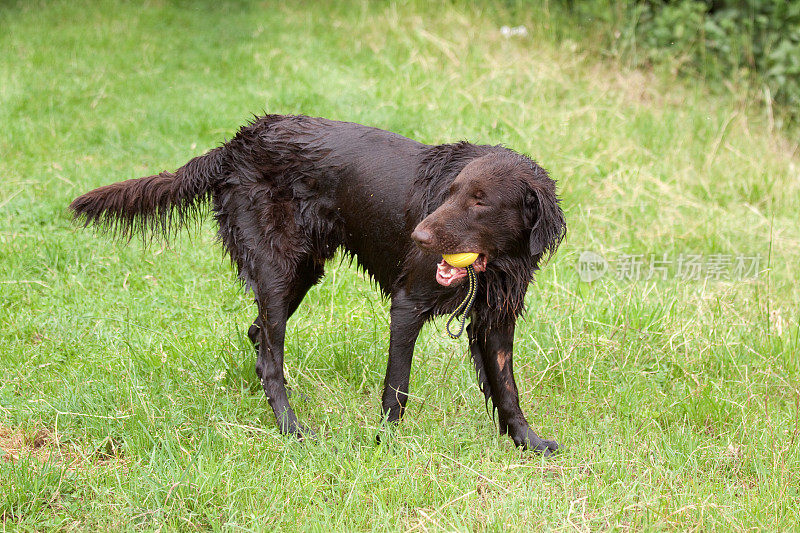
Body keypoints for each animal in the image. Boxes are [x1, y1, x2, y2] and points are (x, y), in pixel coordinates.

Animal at [72, 113, 564, 454]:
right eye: (451, 193)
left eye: (480, 201)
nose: (419, 237)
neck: (496, 266)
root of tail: (238, 141)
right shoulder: (406, 305)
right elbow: (397, 389)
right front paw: (385, 445)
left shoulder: (497, 318)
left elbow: (507, 389)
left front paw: (529, 443)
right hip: (277, 269)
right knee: (271, 357)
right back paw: (290, 427)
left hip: (300, 272)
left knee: (258, 336)